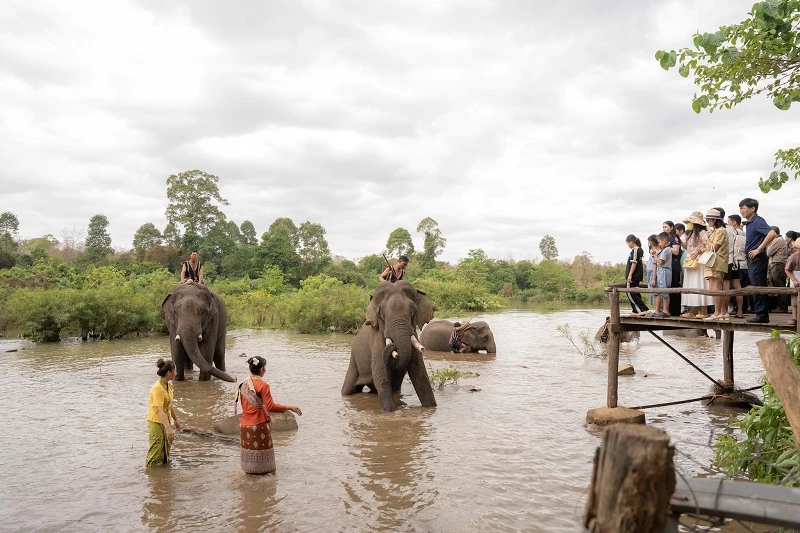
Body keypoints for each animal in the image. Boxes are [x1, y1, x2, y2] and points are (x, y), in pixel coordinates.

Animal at [340, 278, 434, 412]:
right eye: (381, 313)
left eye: (413, 310)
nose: (394, 349)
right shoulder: (377, 337)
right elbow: (381, 372)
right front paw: (390, 412)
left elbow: (419, 372)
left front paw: (431, 407)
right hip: (354, 362)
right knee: (347, 390)